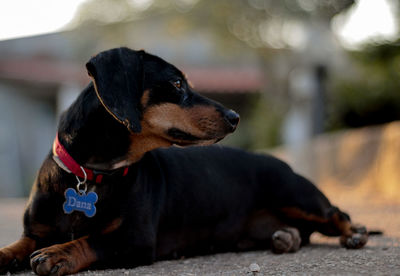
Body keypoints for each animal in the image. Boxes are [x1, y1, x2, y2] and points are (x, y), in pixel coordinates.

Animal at [0, 48, 368, 274]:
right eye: (177, 83)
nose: (235, 117)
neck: (91, 175)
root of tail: (282, 163)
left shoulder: (135, 241)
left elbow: (91, 240)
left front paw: (58, 253)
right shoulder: (34, 231)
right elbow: (17, 245)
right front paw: (6, 254)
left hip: (296, 195)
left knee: (338, 214)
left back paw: (355, 234)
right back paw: (286, 237)